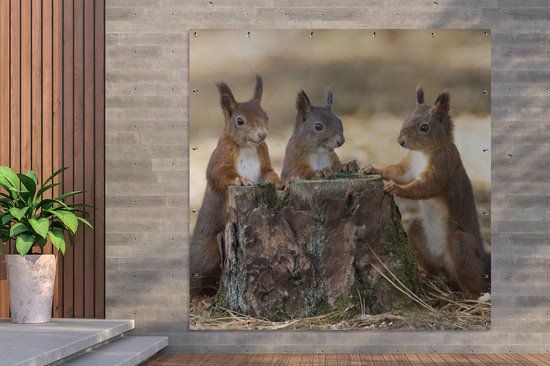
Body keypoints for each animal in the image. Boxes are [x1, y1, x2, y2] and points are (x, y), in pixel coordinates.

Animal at [191, 75, 284, 298]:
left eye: (266, 116)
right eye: (239, 121)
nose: (262, 134)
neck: (248, 147)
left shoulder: (263, 158)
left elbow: (268, 173)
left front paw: (278, 181)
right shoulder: (220, 158)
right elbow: (218, 174)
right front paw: (241, 180)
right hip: (208, 254)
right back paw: (199, 299)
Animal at [366, 86, 492, 300]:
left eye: (424, 127)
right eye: (406, 118)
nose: (401, 142)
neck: (423, 153)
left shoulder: (443, 166)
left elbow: (425, 187)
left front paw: (396, 188)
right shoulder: (408, 166)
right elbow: (398, 172)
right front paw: (373, 169)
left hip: (459, 244)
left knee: (473, 277)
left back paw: (472, 295)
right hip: (418, 233)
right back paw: (429, 276)